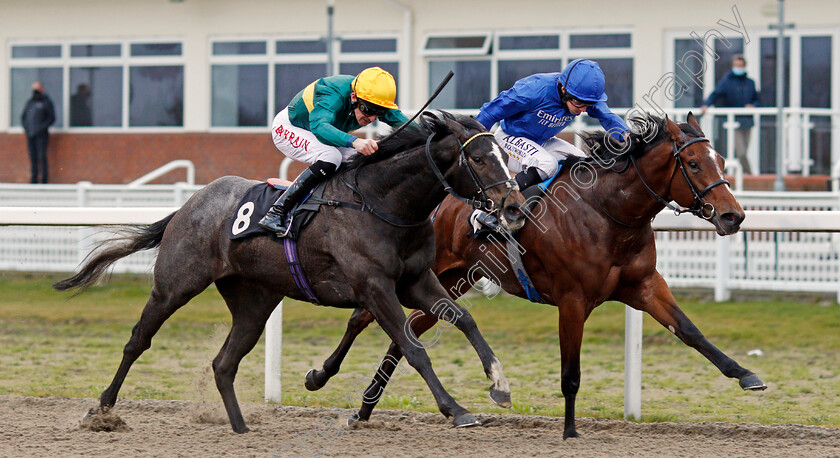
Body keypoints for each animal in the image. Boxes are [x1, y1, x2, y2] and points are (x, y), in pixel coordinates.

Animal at [52, 112, 524, 432]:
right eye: (479, 158)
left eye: (505, 154)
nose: (515, 208)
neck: (381, 202)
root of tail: (189, 205)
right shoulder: (375, 287)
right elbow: (413, 348)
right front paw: (456, 410)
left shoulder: (416, 280)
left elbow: (465, 319)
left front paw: (499, 386)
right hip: (174, 285)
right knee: (138, 340)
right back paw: (102, 409)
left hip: (254, 303)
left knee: (224, 363)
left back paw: (241, 427)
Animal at [304, 112, 768, 438]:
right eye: (692, 162)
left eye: (720, 159)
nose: (734, 216)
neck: (608, 213)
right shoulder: (573, 300)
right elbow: (571, 373)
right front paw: (570, 430)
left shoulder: (644, 285)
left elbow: (690, 331)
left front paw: (746, 375)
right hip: (414, 275)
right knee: (364, 318)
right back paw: (322, 377)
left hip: (449, 280)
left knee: (406, 335)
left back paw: (367, 406)